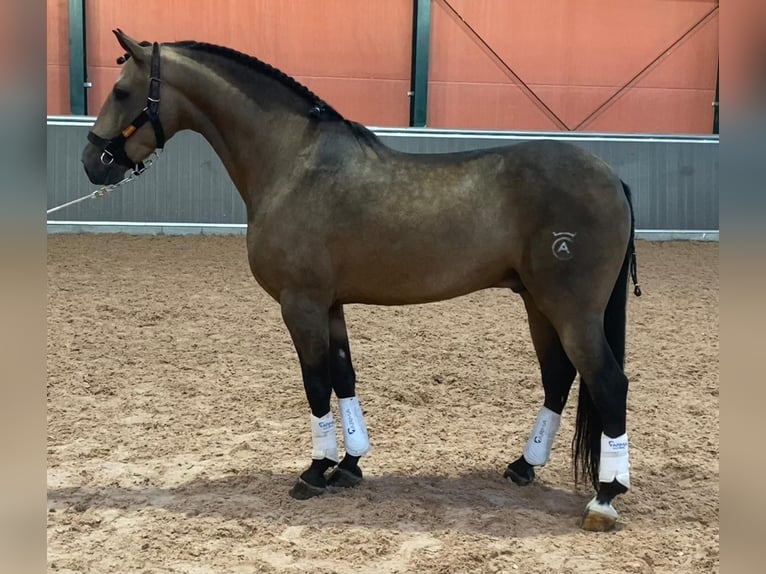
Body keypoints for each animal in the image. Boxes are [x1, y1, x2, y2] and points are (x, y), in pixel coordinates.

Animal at [79, 30, 640, 536]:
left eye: (122, 91)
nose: (92, 163)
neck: (293, 163)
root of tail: (612, 177)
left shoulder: (300, 305)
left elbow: (316, 384)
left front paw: (313, 471)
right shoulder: (329, 306)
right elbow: (344, 377)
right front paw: (349, 464)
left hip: (571, 311)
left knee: (607, 382)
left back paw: (604, 498)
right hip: (539, 305)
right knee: (559, 377)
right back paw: (524, 466)